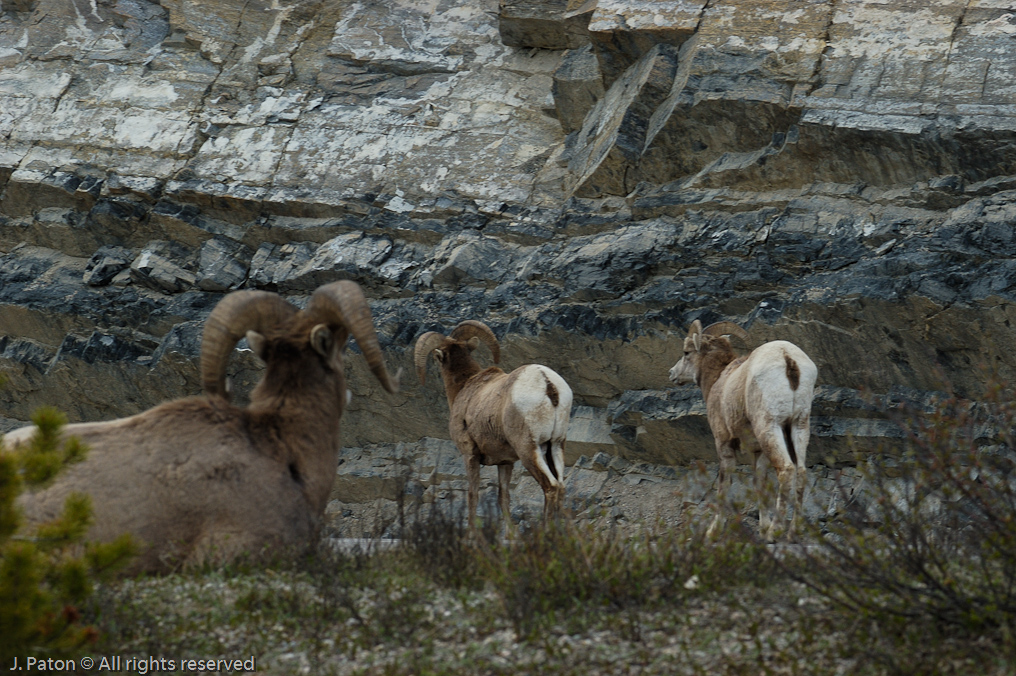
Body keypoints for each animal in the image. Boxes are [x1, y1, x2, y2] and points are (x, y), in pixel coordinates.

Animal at [412, 323, 573, 528]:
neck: (464, 387)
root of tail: (547, 382)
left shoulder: (470, 455)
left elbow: (473, 496)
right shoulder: (505, 462)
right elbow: (503, 498)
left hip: (529, 449)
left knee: (550, 487)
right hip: (556, 445)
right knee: (561, 487)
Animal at [670, 319, 820, 540]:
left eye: (686, 352)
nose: (672, 374)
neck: (719, 379)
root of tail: (787, 357)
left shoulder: (723, 443)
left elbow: (724, 484)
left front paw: (713, 531)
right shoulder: (758, 451)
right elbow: (759, 484)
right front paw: (762, 528)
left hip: (769, 426)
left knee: (786, 470)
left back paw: (774, 532)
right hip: (799, 426)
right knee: (801, 472)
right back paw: (793, 532)